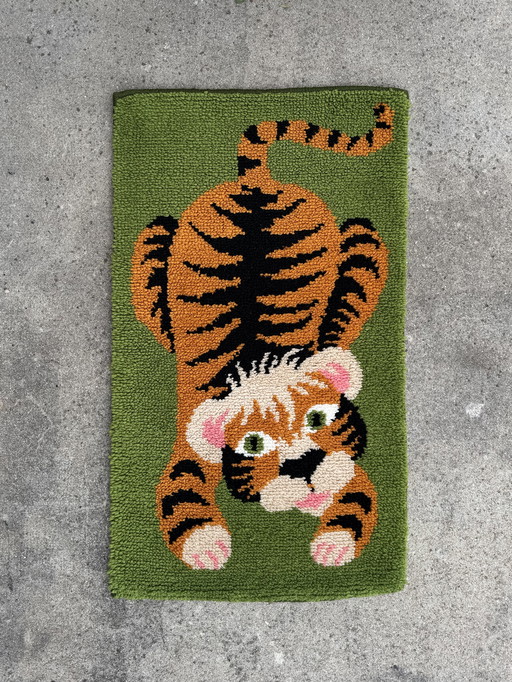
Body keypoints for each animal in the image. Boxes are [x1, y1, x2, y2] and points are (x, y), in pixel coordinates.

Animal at [131, 103, 393, 569]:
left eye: (318, 419)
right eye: (254, 444)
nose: (302, 465)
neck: (256, 360)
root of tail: (255, 182)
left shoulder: (345, 459)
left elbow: (357, 498)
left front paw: (333, 546)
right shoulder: (189, 444)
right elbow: (181, 493)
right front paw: (207, 546)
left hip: (364, 240)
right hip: (151, 244)